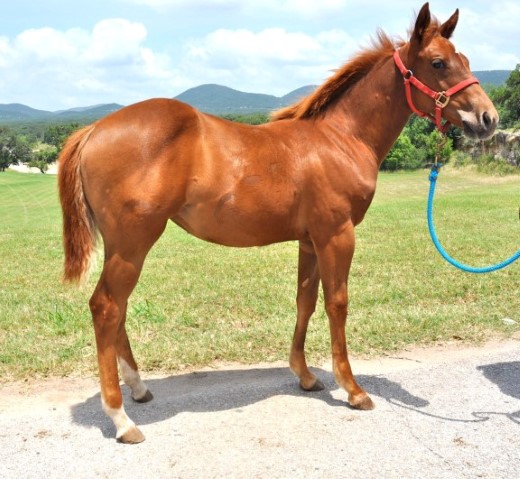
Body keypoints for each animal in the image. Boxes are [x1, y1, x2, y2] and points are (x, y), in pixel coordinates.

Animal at [59, 4, 498, 446]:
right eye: (438, 62)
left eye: (465, 60)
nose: (488, 118)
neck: (340, 138)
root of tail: (93, 129)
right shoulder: (337, 235)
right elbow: (337, 303)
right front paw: (353, 390)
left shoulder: (310, 241)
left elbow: (305, 301)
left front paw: (305, 376)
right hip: (134, 243)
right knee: (106, 307)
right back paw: (121, 418)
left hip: (122, 247)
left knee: (118, 309)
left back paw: (138, 388)